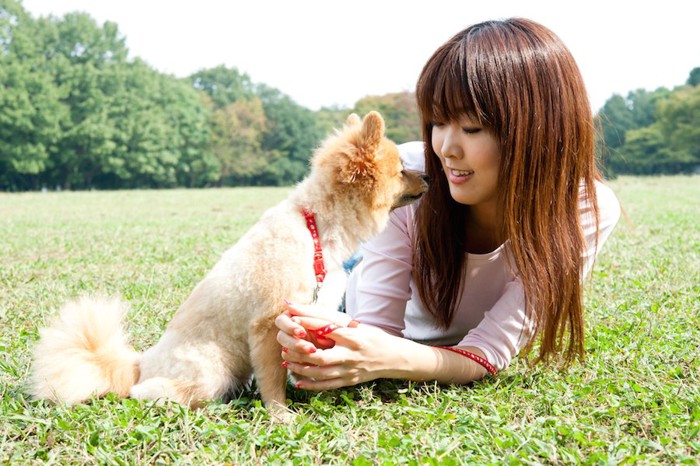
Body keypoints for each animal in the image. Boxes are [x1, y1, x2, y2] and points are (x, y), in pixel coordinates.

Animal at [30, 111, 430, 420]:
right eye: (401, 170)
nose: (427, 175)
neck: (316, 224)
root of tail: (141, 362)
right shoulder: (268, 323)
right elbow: (272, 380)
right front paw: (280, 415)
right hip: (211, 368)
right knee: (150, 392)